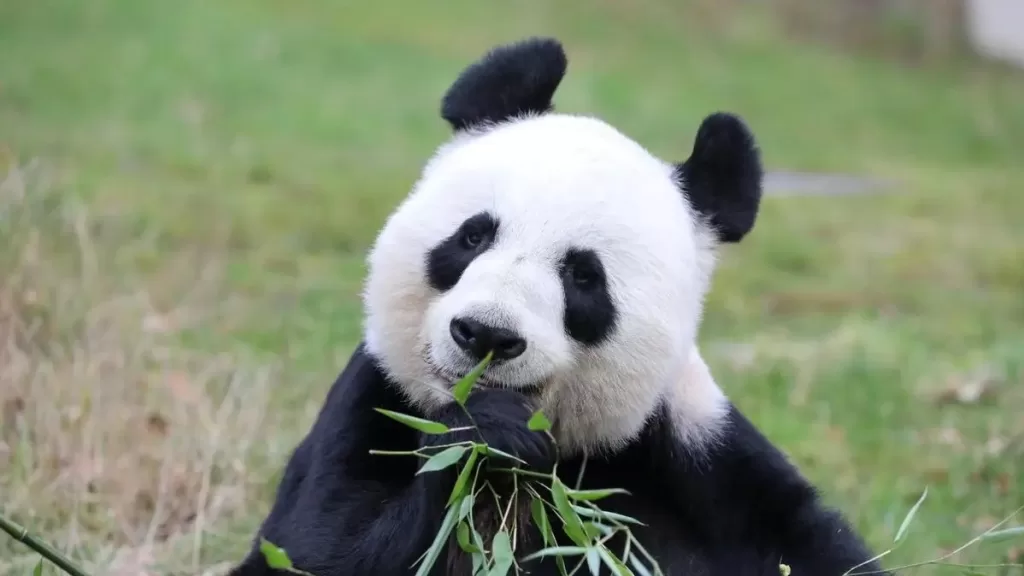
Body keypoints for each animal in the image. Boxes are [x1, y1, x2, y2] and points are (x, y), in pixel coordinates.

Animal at [231, 37, 886, 576]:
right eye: (473, 236)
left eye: (583, 276)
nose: (485, 335)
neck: (552, 459)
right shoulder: (376, 402)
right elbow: (321, 546)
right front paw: (485, 434)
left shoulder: (693, 456)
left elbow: (806, 549)